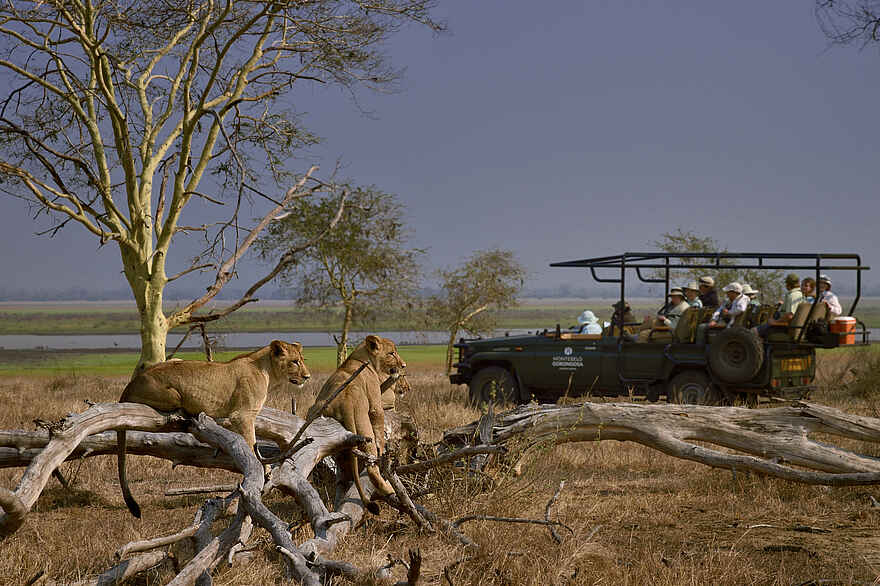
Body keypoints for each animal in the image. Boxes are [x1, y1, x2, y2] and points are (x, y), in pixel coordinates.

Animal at [117, 340, 310, 518]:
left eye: (302, 360)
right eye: (295, 362)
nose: (307, 377)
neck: (267, 372)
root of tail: (131, 383)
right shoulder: (243, 415)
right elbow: (251, 443)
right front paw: (265, 470)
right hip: (174, 394)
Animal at [307, 335, 406, 514]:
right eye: (392, 353)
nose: (403, 365)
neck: (362, 358)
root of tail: (345, 403)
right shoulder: (375, 400)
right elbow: (378, 418)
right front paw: (383, 447)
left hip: (317, 412)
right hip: (365, 429)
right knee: (371, 466)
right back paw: (389, 489)